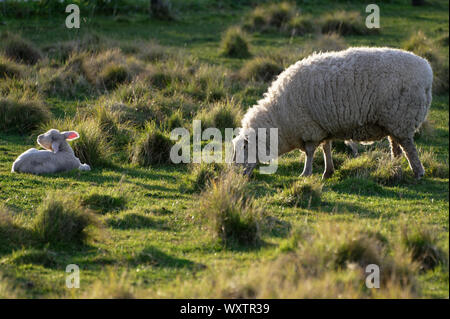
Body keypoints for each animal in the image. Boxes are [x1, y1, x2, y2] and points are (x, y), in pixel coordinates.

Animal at [232, 48, 432, 181]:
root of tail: (426, 72)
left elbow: (310, 152)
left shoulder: (309, 127)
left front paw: (306, 173)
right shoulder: (322, 126)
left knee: (408, 147)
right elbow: (326, 147)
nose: (236, 175)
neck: (279, 117)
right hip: (391, 121)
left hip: (401, 117)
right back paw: (394, 167)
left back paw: (418, 172)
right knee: (396, 145)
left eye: (244, 149)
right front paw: (328, 171)